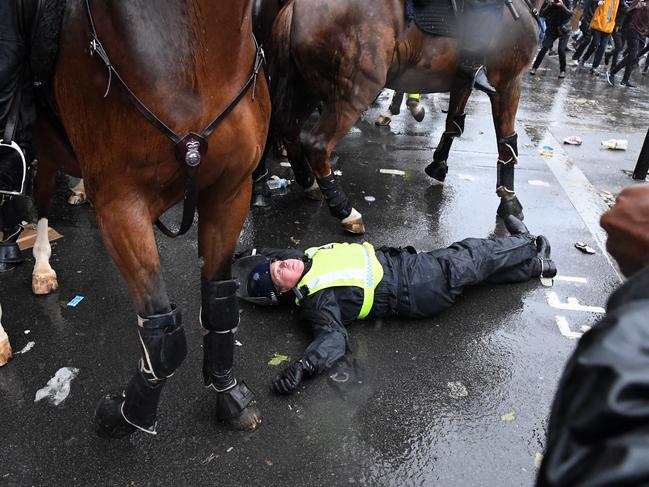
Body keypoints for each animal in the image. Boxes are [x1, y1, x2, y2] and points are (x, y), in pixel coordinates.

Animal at [32, 1, 270, 438]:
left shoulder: (231, 190)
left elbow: (219, 304)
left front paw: (228, 393)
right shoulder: (121, 206)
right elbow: (162, 335)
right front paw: (126, 414)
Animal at [268, 0, 540, 234]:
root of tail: (296, 5)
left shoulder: (463, 82)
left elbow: (454, 124)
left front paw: (438, 165)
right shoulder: (508, 84)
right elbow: (507, 142)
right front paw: (509, 201)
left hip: (306, 87)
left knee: (290, 129)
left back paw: (309, 183)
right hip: (355, 90)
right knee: (317, 144)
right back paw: (345, 211)